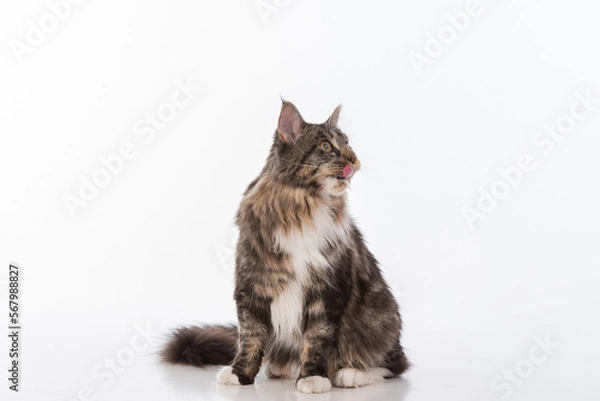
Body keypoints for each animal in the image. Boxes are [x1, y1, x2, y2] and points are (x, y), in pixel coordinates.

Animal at [162, 101, 410, 394]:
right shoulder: (252, 285)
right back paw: (282, 367)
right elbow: (250, 336)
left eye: (347, 143)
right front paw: (239, 373)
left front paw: (313, 377)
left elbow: (317, 339)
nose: (354, 160)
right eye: (327, 146)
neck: (301, 205)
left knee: (394, 363)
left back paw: (350, 374)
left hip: (381, 315)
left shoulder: (327, 290)